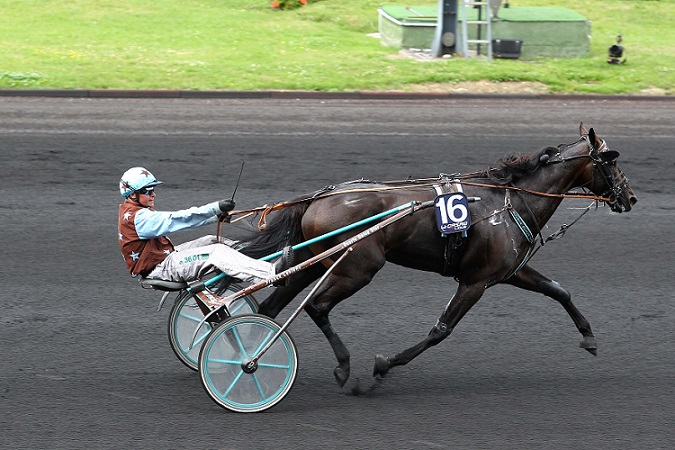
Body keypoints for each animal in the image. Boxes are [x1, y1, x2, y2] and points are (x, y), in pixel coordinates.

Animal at [240, 123, 636, 386]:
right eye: (612, 161)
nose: (630, 198)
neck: (509, 203)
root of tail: (319, 196)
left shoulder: (510, 271)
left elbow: (558, 290)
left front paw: (589, 337)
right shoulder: (476, 280)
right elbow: (441, 330)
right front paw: (385, 364)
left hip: (317, 262)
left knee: (271, 307)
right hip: (358, 267)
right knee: (317, 307)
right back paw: (340, 365)